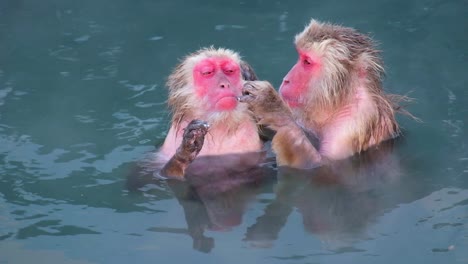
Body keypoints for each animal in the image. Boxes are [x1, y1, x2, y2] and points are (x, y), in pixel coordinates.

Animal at [239, 20, 412, 169]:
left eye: (307, 62)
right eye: (300, 56)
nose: (286, 80)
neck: (339, 100)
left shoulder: (353, 122)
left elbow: (321, 165)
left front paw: (271, 105)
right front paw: (247, 75)